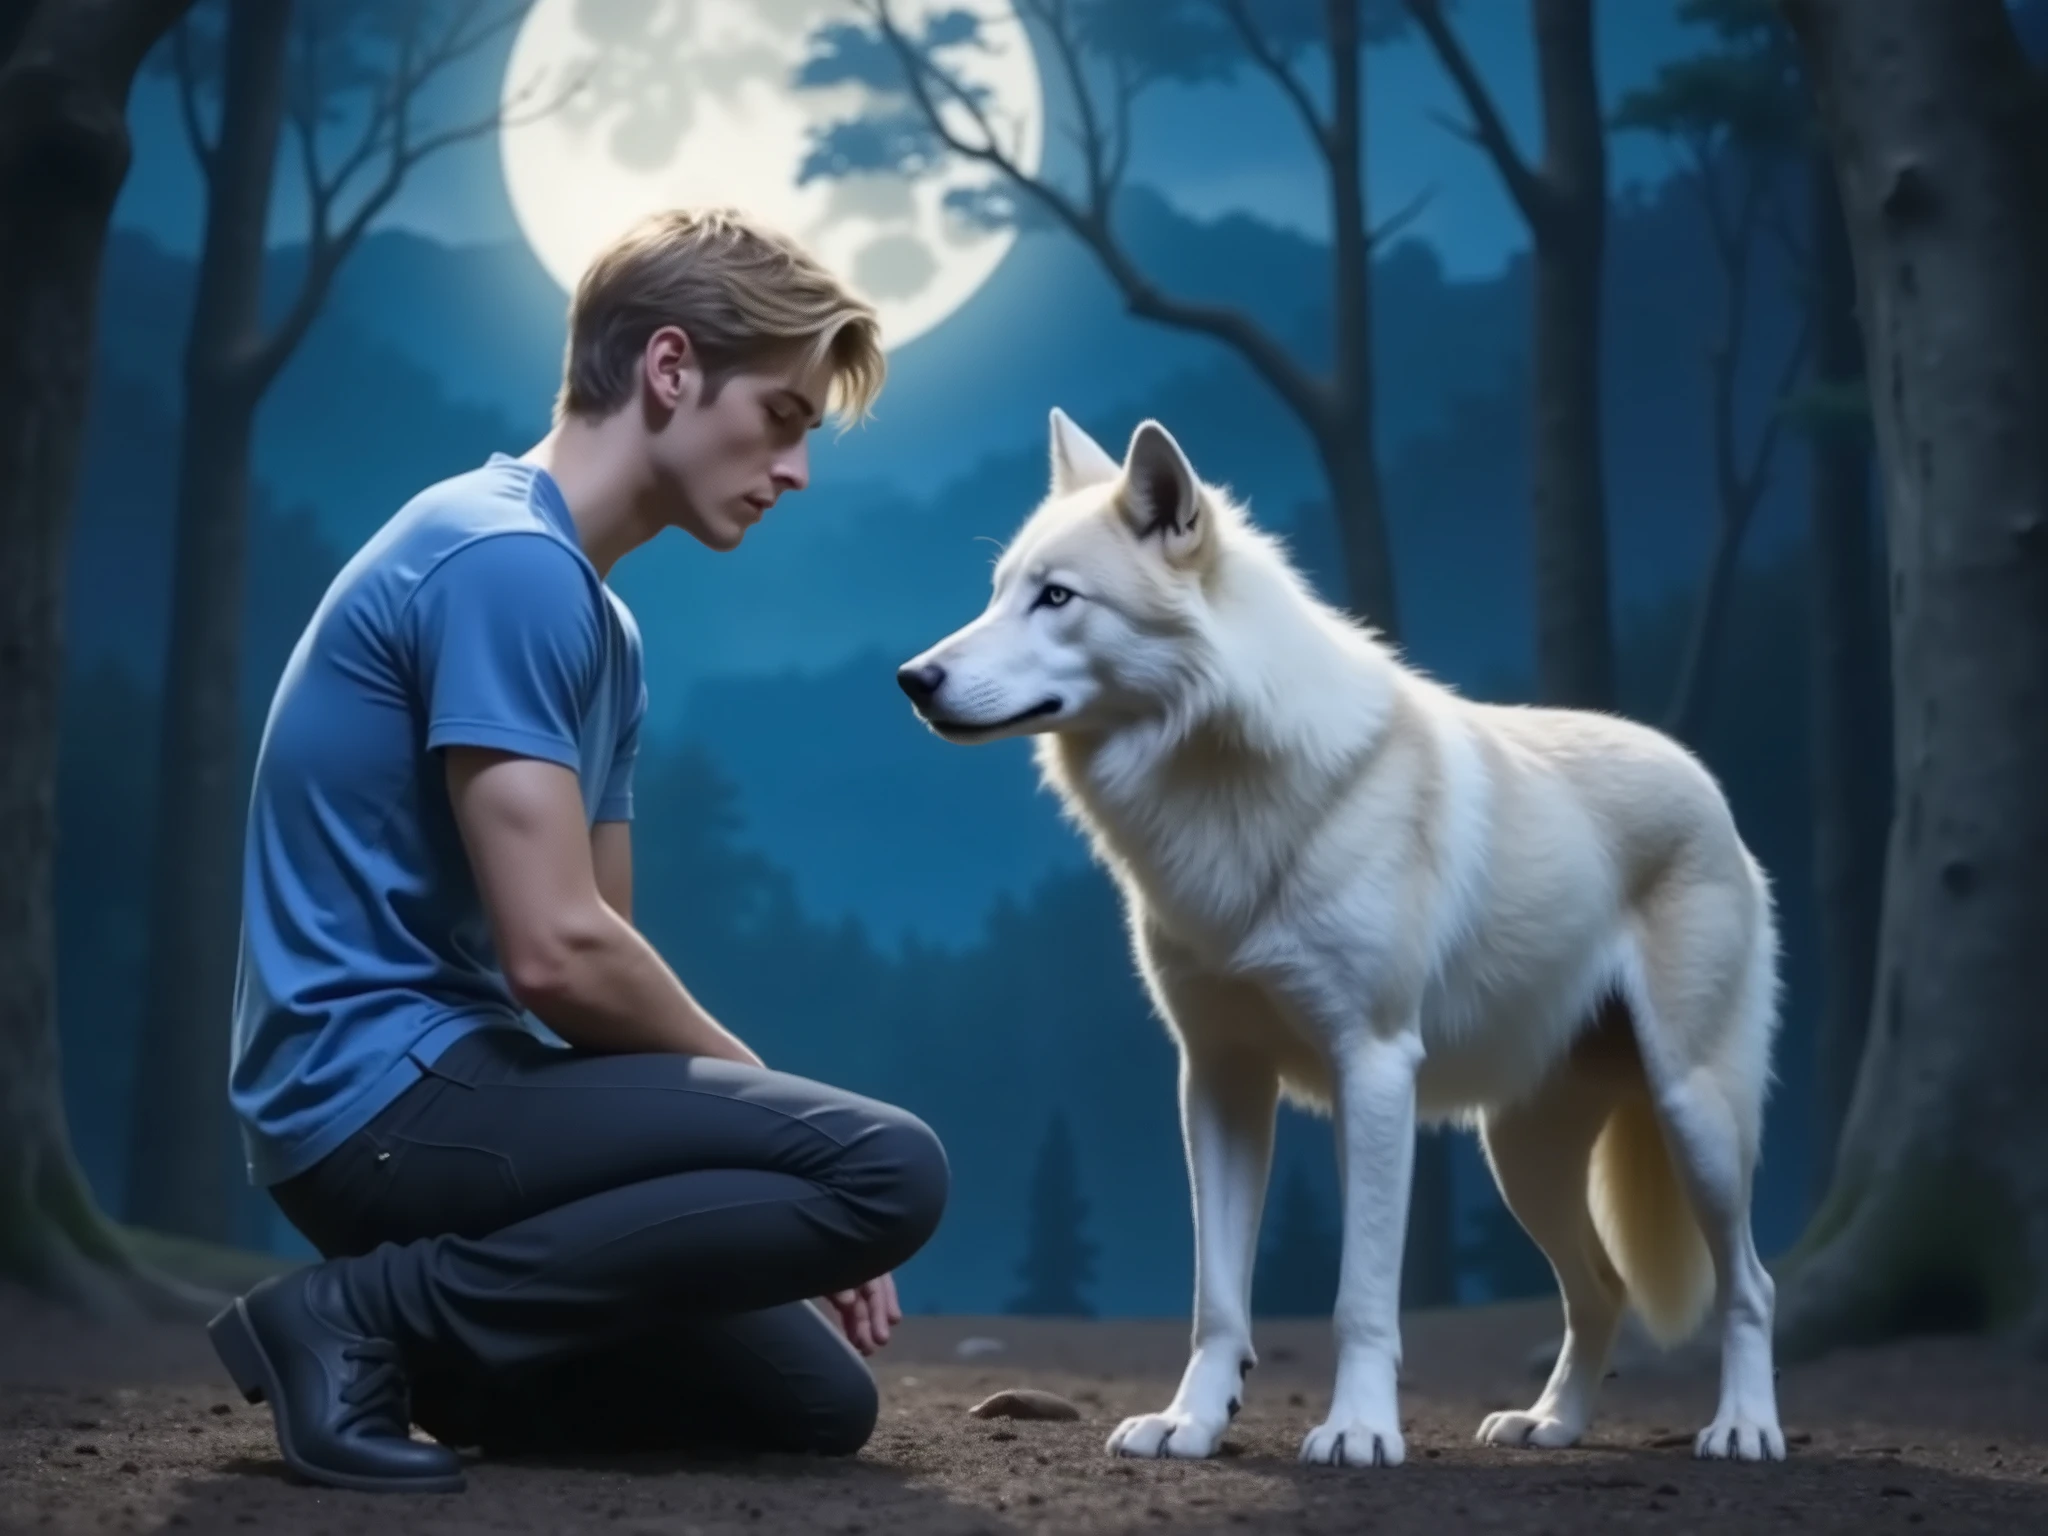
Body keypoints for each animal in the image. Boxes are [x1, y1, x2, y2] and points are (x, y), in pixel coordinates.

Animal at [896, 409, 1787, 1469]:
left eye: (1057, 597)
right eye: (996, 593)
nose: (912, 678)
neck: (1223, 792)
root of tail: (1708, 784)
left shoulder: (1373, 1068)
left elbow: (1360, 1295)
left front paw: (1359, 1430)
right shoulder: (1219, 1078)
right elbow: (1217, 1301)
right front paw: (1191, 1423)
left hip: (1694, 1118)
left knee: (1751, 1285)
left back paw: (1744, 1428)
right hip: (1520, 1154)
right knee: (1600, 1287)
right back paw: (1549, 1424)